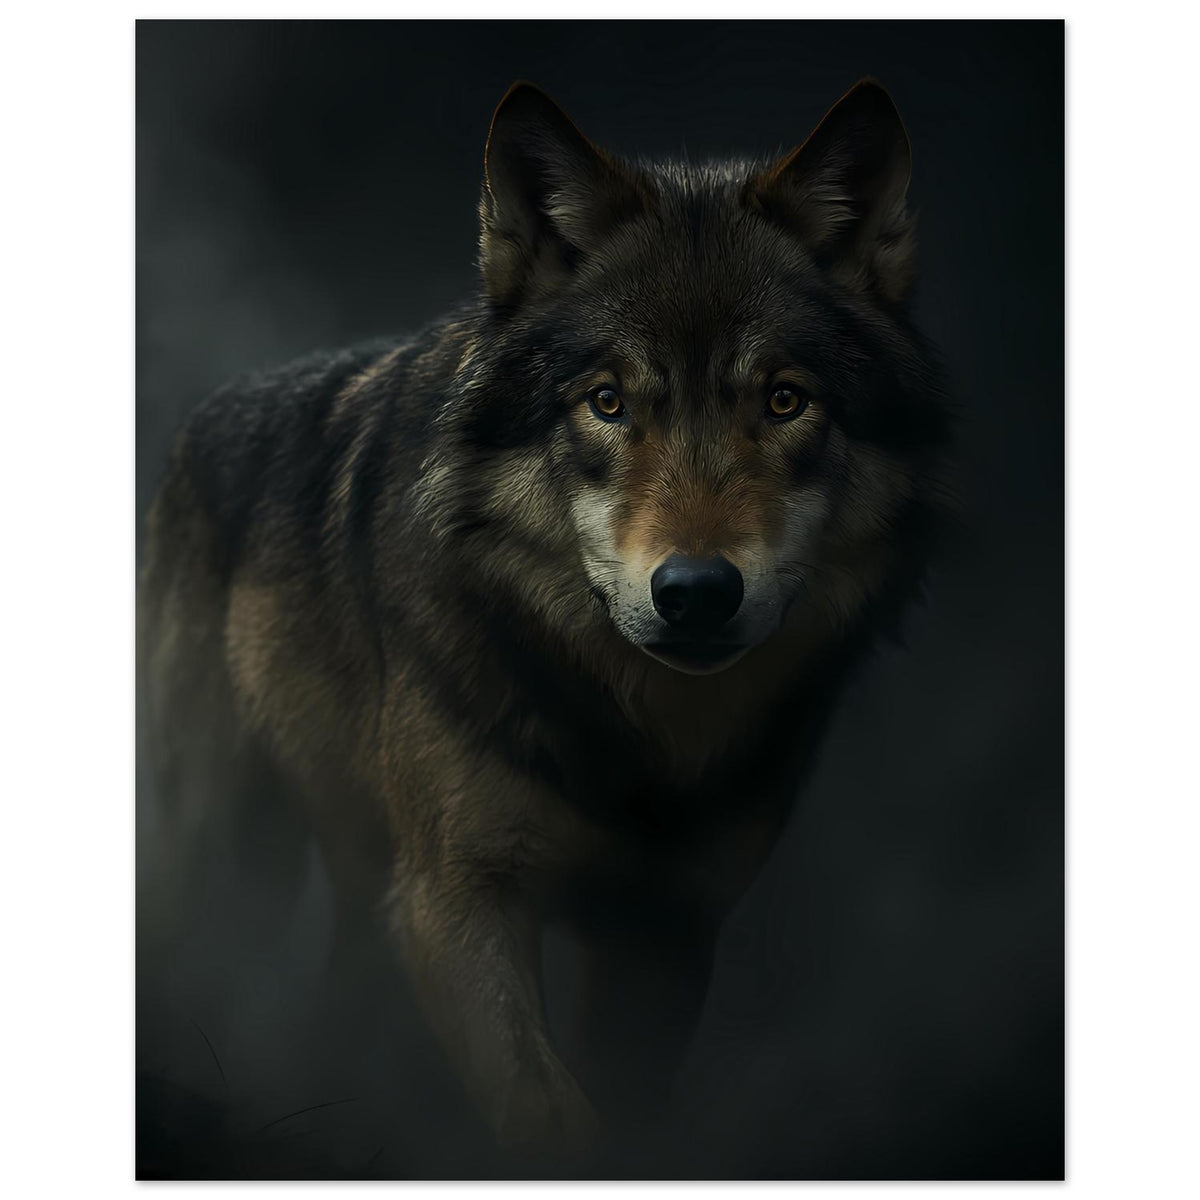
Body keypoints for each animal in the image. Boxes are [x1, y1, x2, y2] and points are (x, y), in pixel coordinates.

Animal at [138, 78, 951, 1161]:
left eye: (785, 402)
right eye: (606, 402)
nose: (698, 590)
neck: (635, 739)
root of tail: (206, 411)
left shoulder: (666, 935)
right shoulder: (455, 901)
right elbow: (545, 1112)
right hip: (219, 842)